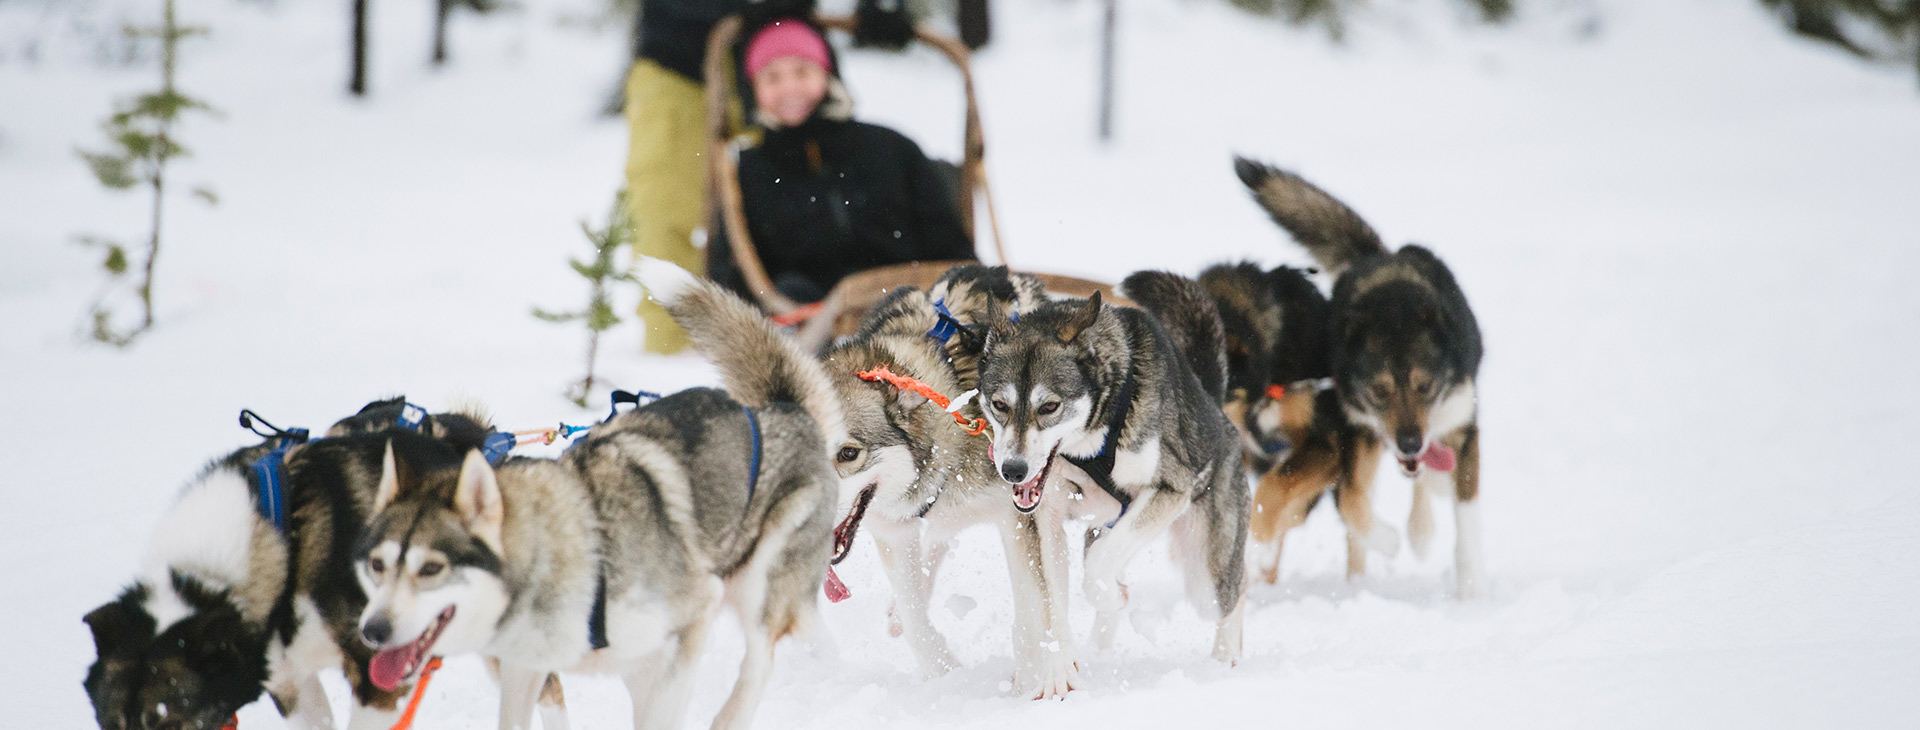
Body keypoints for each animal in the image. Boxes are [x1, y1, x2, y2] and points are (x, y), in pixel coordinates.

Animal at [360, 259, 840, 726]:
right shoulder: (528, 666)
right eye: (377, 565)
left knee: (759, 662)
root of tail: (783, 409)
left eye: (431, 568)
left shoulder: (692, 618)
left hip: (757, 582)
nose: (372, 630)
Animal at [810, 265, 1082, 699]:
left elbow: (1033, 603)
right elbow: (914, 616)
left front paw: (1040, 674)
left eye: (848, 454)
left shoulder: (1015, 516)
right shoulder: (894, 530)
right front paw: (945, 675)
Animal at [983, 272, 1251, 660]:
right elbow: (1055, 592)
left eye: (1049, 407)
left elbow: (1098, 570)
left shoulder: (1170, 489)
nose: (1013, 470)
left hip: (1206, 576)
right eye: (999, 404)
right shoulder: (1048, 517)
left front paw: (1111, 596)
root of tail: (1215, 408)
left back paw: (1225, 658)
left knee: (1236, 589)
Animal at [1236, 156, 1489, 595]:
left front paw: (1471, 591)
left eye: (1425, 386)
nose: (1408, 442)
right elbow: (1355, 505)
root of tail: (1380, 257)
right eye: (1379, 391)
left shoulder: (1462, 425)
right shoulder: (1357, 430)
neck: (1395, 304)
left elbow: (1467, 517)